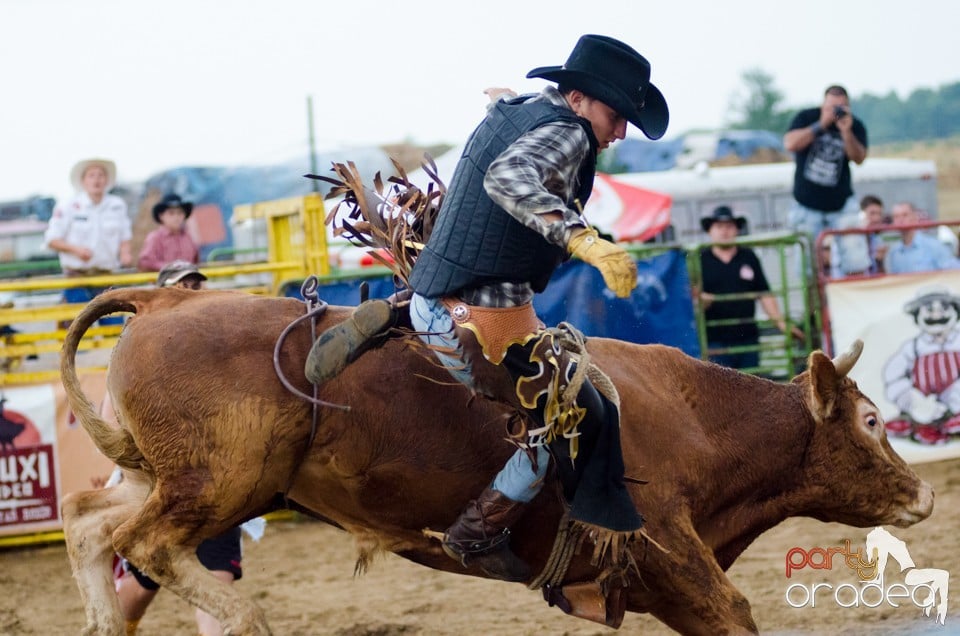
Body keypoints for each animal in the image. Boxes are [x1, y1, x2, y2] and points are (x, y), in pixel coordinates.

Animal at [58, 288, 928, 636]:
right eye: (872, 420)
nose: (921, 493)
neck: (696, 419)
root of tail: (167, 300)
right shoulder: (674, 558)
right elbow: (735, 614)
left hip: (160, 473)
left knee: (88, 523)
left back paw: (101, 618)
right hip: (226, 480)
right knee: (144, 544)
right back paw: (245, 618)